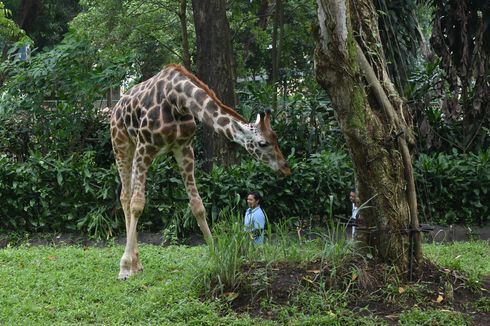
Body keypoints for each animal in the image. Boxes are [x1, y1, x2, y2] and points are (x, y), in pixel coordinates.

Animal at [110, 64, 290, 280]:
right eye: (263, 143)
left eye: (276, 137)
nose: (285, 168)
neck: (177, 101)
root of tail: (116, 107)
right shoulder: (145, 147)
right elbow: (137, 205)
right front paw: (124, 267)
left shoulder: (184, 149)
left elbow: (198, 205)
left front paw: (216, 257)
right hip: (122, 144)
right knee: (125, 196)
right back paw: (130, 264)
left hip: (136, 150)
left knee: (128, 195)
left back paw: (137, 264)